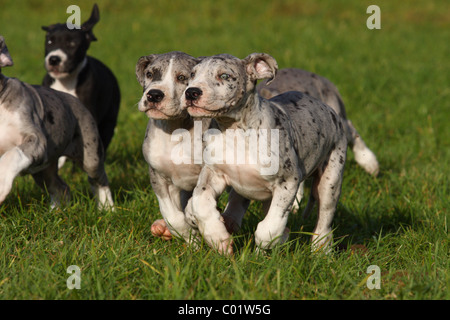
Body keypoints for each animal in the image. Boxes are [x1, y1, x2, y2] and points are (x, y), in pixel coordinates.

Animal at [0, 35, 113, 210]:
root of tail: (74, 99)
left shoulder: (36, 139)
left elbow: (12, 154)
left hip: (91, 155)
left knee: (99, 179)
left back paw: (107, 208)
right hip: (43, 168)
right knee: (60, 187)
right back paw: (56, 212)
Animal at [183, 53, 348, 254]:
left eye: (224, 76)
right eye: (192, 74)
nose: (191, 92)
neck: (234, 130)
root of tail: (330, 110)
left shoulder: (288, 182)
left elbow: (270, 227)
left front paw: (263, 248)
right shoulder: (213, 173)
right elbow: (201, 203)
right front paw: (218, 238)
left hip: (330, 179)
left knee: (324, 216)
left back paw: (320, 249)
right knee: (236, 202)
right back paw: (226, 222)